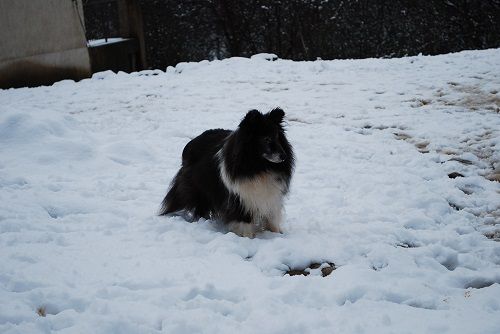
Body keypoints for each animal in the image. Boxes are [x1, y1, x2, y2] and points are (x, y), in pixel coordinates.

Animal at [159, 107, 292, 237]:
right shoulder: (240, 196)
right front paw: (247, 237)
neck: (259, 167)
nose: (284, 156)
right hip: (199, 186)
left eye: (277, 137)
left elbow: (272, 218)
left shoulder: (271, 197)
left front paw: (277, 234)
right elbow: (244, 221)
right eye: (266, 139)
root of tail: (191, 142)